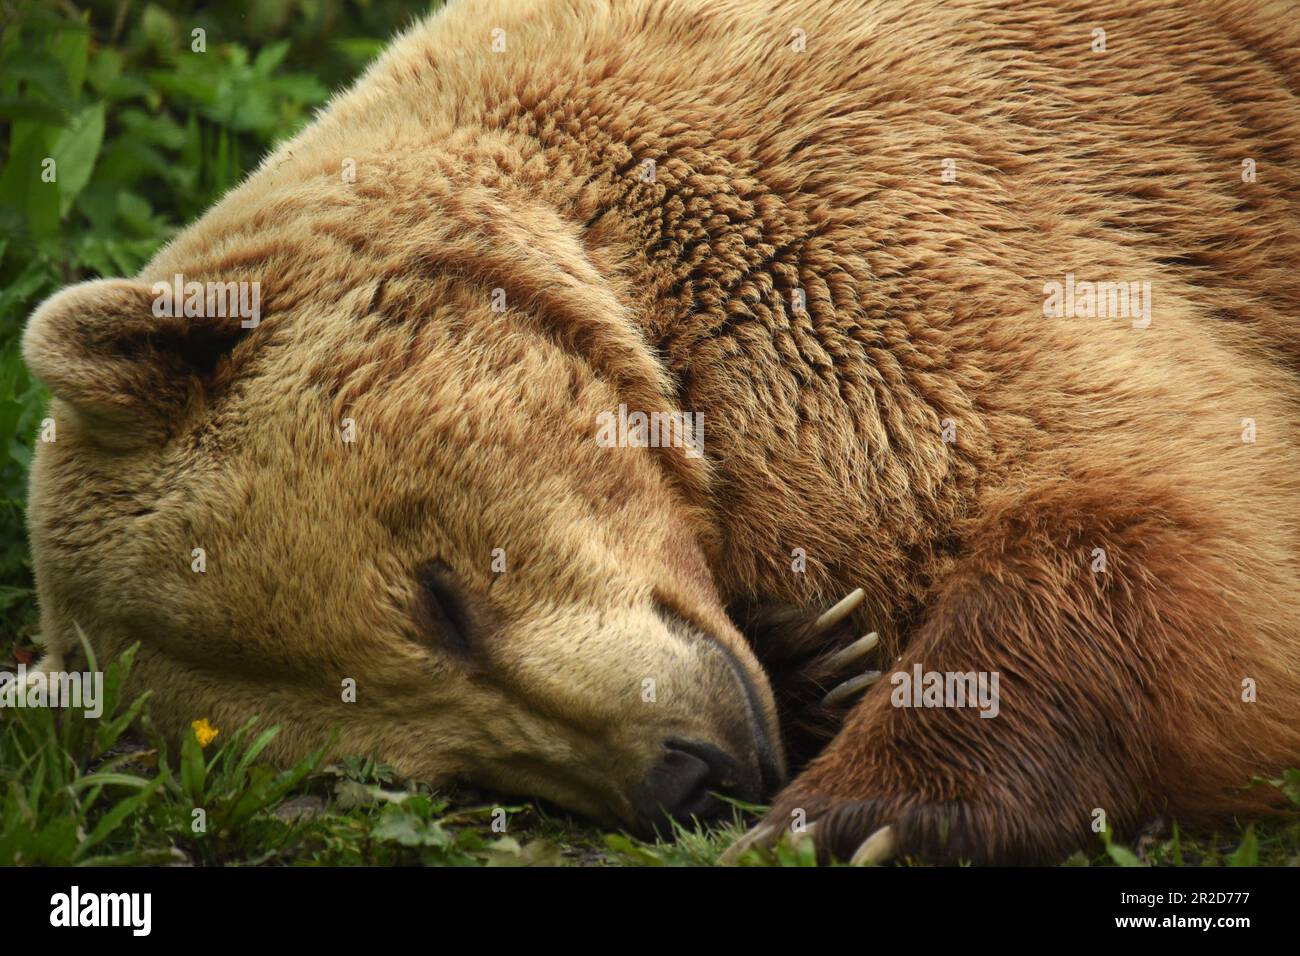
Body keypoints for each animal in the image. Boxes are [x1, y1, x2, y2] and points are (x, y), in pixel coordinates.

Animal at [17, 0, 1300, 868]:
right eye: (437, 763)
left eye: (441, 598)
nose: (684, 771)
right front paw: (817, 646)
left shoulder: (886, 210)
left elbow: (1181, 516)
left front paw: (857, 817)